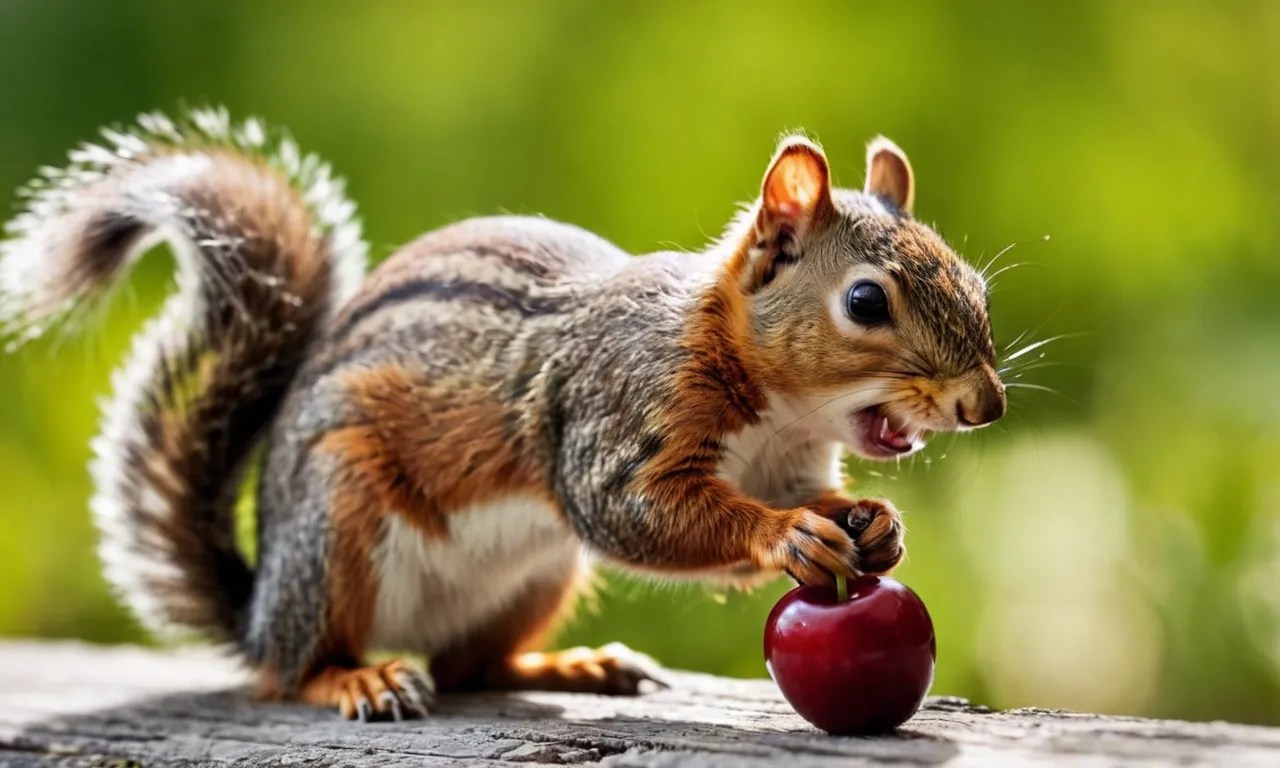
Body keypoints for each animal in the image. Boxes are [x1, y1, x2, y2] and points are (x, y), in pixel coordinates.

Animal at [0, 108, 1004, 721]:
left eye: (974, 283)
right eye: (865, 302)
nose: (984, 404)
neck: (778, 412)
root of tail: (258, 612)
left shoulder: (790, 460)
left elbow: (815, 498)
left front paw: (872, 523)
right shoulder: (613, 416)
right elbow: (634, 512)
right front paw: (786, 535)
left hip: (534, 576)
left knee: (470, 667)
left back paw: (570, 666)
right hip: (337, 516)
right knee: (290, 673)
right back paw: (355, 676)